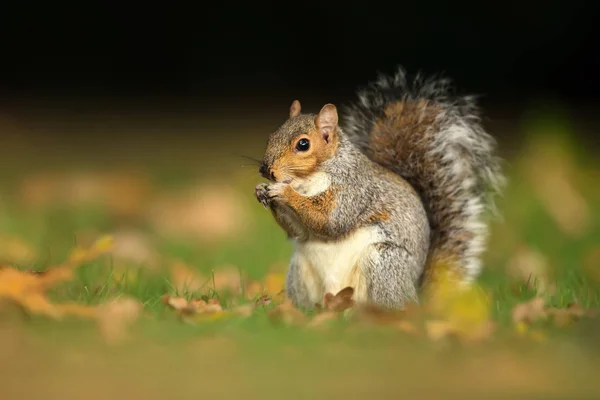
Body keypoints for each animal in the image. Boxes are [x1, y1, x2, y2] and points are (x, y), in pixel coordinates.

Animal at [255, 66, 504, 310]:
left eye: (303, 144)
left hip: (383, 264)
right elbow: (297, 231)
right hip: (300, 271)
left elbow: (330, 220)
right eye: (271, 137)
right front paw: (262, 190)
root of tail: (417, 298)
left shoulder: (354, 190)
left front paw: (283, 193)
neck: (307, 180)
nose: (266, 169)